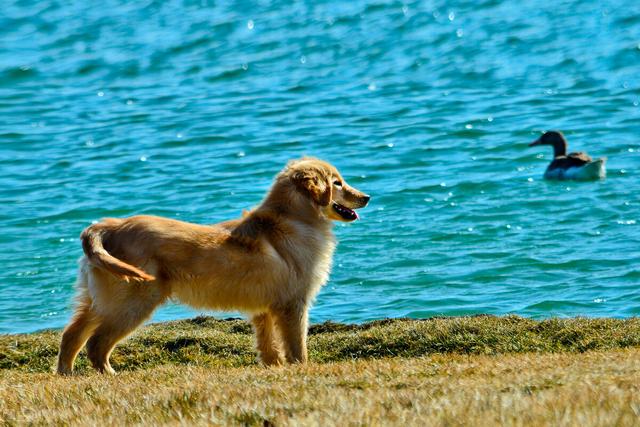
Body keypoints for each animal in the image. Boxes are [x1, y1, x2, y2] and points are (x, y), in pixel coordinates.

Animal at [58, 157, 372, 374]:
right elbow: (297, 347)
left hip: (101, 300)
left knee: (72, 334)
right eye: (337, 183)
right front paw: (300, 369)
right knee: (96, 343)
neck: (293, 218)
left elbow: (268, 346)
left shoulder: (266, 309)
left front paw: (274, 368)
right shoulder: (293, 304)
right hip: (134, 301)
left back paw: (66, 374)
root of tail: (106, 227)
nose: (367, 197)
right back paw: (110, 374)